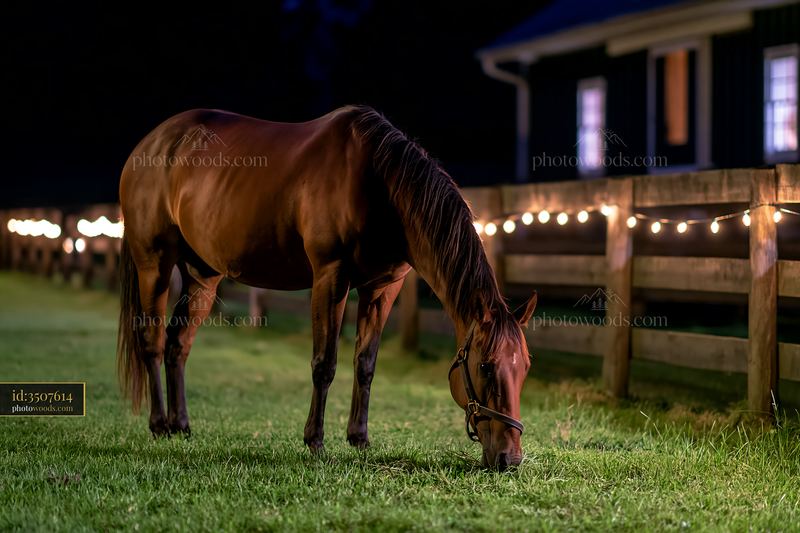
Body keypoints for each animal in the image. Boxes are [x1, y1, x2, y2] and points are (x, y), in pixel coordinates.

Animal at [117, 105, 537, 469]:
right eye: (485, 366)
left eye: (525, 367)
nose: (510, 458)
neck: (378, 184)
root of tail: (149, 145)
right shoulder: (330, 277)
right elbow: (325, 363)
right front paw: (315, 441)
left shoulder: (383, 288)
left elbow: (365, 364)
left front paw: (359, 437)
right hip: (154, 265)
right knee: (152, 341)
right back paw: (158, 424)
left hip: (202, 275)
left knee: (179, 345)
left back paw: (181, 425)